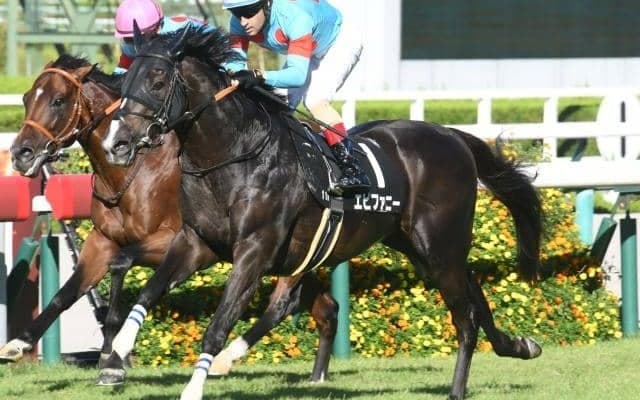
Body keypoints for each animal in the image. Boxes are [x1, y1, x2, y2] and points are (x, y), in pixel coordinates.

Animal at [6, 55, 334, 385]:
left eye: (58, 100)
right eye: (26, 98)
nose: (21, 153)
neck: (131, 171)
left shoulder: (173, 239)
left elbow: (121, 264)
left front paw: (111, 357)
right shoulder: (102, 240)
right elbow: (66, 294)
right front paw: (18, 343)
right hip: (298, 255)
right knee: (325, 308)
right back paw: (316, 373)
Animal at [100, 26, 543, 400]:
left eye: (158, 80)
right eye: (125, 81)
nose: (116, 144)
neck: (233, 156)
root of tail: (451, 134)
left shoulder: (254, 249)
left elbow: (218, 325)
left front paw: (193, 387)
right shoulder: (198, 242)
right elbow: (149, 291)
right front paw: (115, 354)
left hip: (439, 245)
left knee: (464, 316)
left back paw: (457, 388)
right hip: (418, 248)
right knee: (474, 295)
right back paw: (520, 344)